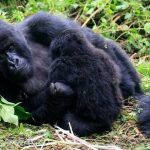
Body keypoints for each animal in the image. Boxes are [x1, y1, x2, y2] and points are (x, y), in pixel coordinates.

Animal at [0, 11, 148, 136]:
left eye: (11, 48)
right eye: (0, 56)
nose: (13, 63)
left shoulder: (40, 23)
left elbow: (94, 41)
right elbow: (26, 113)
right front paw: (60, 95)